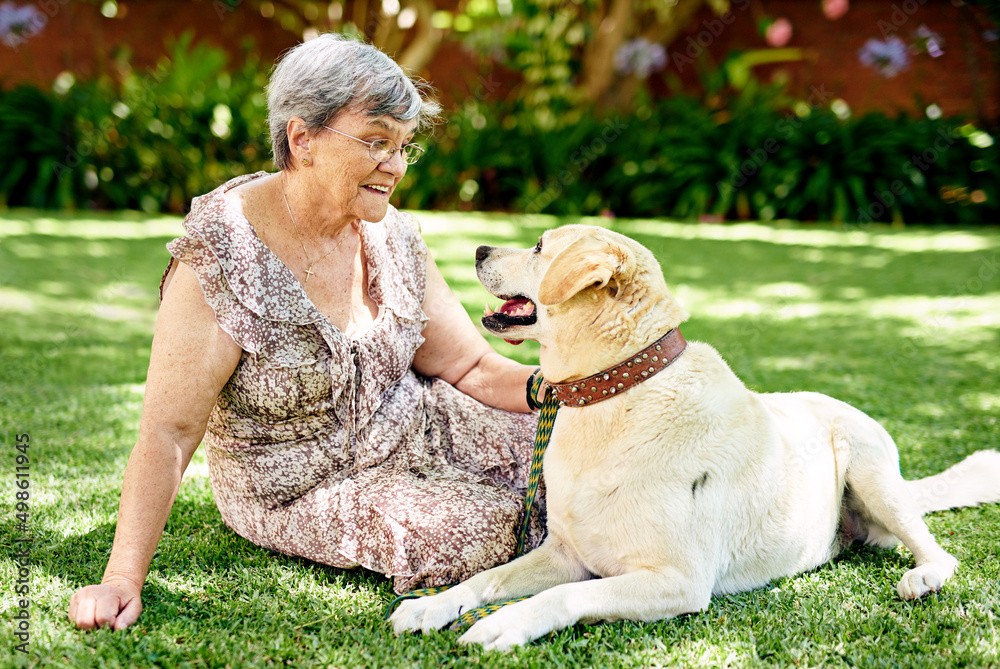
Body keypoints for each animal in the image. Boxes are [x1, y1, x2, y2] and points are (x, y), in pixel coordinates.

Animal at [390, 223, 1000, 648]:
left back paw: (924, 577)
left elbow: (566, 595)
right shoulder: (563, 552)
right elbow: (487, 579)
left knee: (938, 551)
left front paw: (509, 624)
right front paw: (434, 604)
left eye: (540, 246)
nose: (477, 250)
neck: (614, 395)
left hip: (870, 466)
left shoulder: (677, 580)